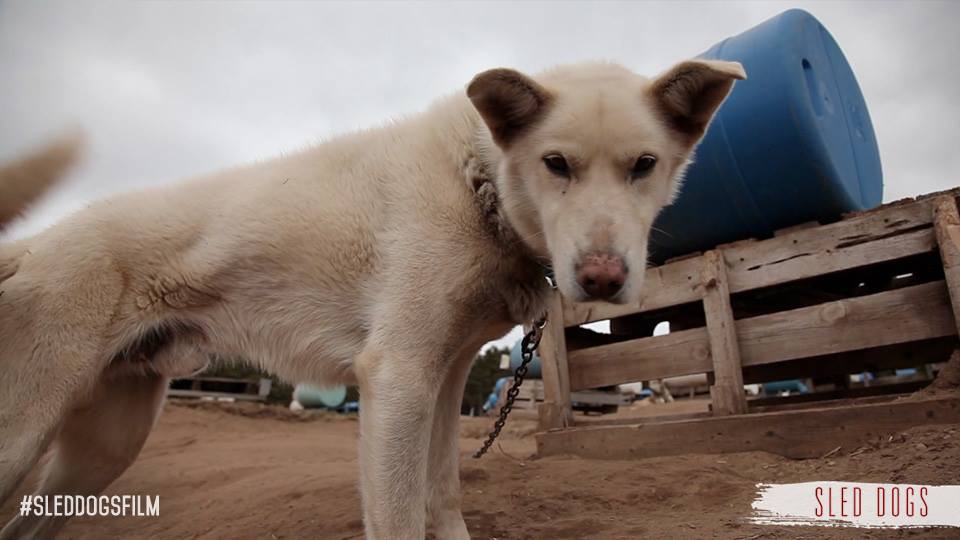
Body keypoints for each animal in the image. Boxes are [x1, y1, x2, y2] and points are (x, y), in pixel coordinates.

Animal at [0, 57, 748, 536]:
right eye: (556, 164)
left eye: (644, 165)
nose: (601, 279)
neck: (475, 183)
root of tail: (34, 244)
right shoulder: (397, 378)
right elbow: (400, 516)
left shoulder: (445, 380)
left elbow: (443, 501)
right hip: (27, 433)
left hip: (103, 450)